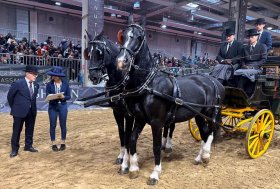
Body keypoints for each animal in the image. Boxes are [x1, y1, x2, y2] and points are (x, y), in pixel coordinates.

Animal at [83, 33, 135, 164]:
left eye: (99, 53)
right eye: (88, 53)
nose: (93, 77)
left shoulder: (129, 114)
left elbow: (128, 134)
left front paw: (126, 158)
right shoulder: (116, 112)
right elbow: (121, 133)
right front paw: (121, 156)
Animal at [115, 17, 224, 185]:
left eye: (139, 37)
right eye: (124, 35)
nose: (122, 61)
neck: (148, 84)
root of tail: (212, 80)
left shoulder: (157, 122)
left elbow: (156, 146)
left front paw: (155, 173)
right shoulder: (139, 118)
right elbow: (132, 139)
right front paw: (133, 168)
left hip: (209, 111)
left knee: (210, 133)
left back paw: (206, 155)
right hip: (198, 115)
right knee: (205, 133)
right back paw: (199, 158)